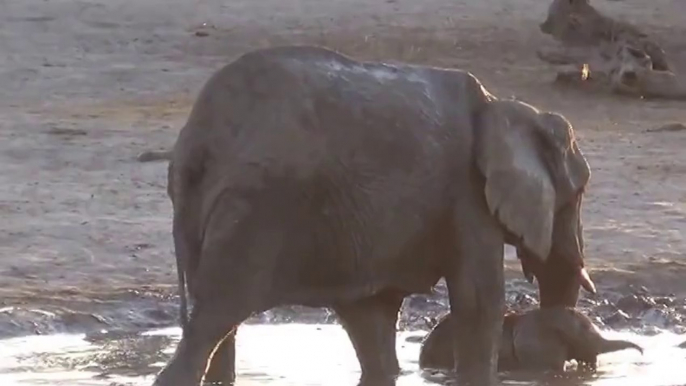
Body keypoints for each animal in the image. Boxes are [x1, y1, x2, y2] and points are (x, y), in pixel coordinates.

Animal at [155, 46, 596, 386]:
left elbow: (371, 319)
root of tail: (199, 141)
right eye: (578, 193)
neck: (505, 108)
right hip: (256, 209)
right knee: (218, 315)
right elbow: (478, 301)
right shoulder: (467, 195)